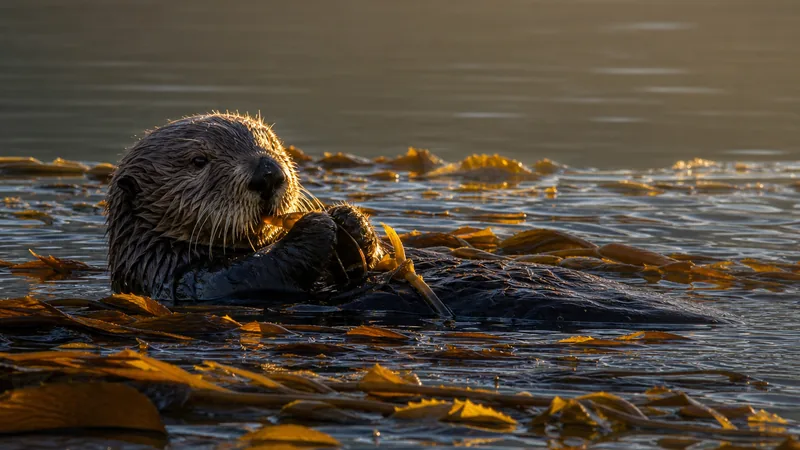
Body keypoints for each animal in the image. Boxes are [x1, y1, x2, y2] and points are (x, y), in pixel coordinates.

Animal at [106, 113, 726, 324]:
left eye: (272, 144)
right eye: (199, 161)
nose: (268, 174)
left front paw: (351, 221)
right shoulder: (189, 280)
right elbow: (255, 272)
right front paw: (319, 226)